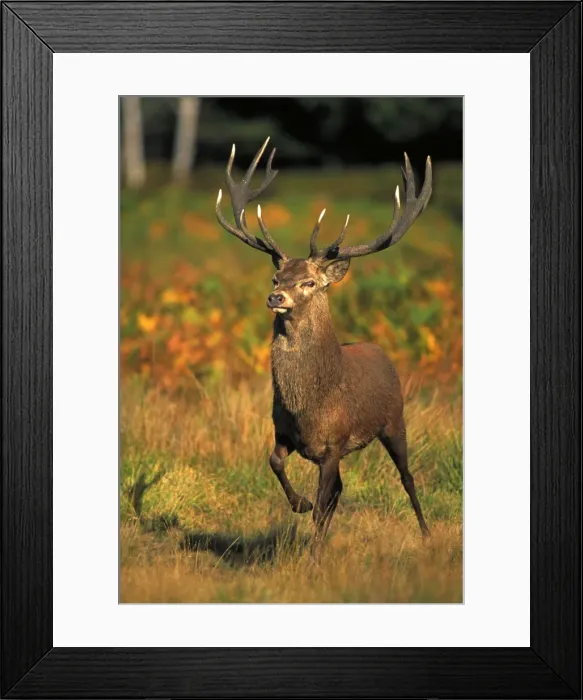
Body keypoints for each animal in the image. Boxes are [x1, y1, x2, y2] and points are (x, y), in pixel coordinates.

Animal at [215, 137, 432, 547]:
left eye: (310, 282)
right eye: (275, 277)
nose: (276, 297)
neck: (309, 408)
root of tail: (380, 350)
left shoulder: (334, 444)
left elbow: (321, 506)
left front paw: (313, 552)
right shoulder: (285, 433)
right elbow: (276, 463)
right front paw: (298, 504)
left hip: (395, 420)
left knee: (407, 476)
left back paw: (427, 534)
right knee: (342, 489)